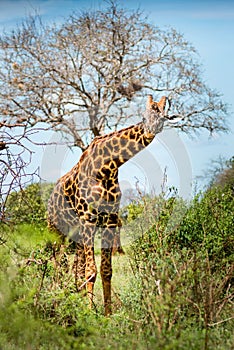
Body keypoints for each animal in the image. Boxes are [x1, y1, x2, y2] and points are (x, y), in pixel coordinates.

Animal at [48, 94, 166, 316]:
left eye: (162, 115)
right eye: (144, 116)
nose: (150, 131)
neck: (107, 168)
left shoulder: (110, 220)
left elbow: (105, 270)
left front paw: (107, 312)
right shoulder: (88, 218)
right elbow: (91, 270)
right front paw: (89, 311)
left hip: (74, 233)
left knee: (75, 264)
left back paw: (73, 294)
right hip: (56, 229)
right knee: (57, 261)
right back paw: (56, 292)